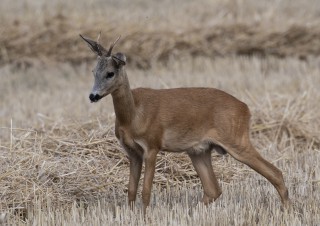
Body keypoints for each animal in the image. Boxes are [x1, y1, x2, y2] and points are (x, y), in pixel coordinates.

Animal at [79, 34, 290, 213]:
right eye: (93, 71)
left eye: (110, 73)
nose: (93, 96)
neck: (133, 116)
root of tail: (245, 109)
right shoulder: (132, 151)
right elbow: (131, 189)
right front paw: (131, 215)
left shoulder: (152, 144)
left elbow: (146, 190)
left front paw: (145, 216)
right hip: (199, 150)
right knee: (213, 189)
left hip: (237, 139)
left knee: (276, 172)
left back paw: (287, 209)